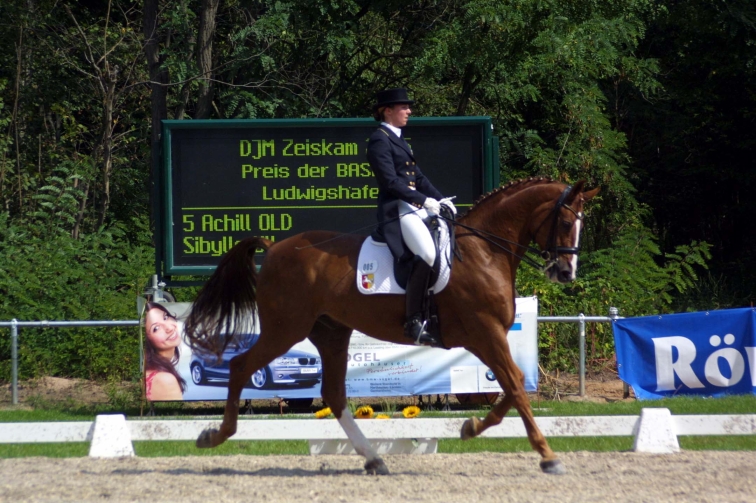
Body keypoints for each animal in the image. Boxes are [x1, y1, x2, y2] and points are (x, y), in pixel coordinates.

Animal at [184, 177, 599, 475]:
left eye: (581, 226)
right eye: (565, 222)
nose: (566, 273)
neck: (484, 252)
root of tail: (274, 247)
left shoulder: (486, 336)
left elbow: (513, 387)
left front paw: (471, 427)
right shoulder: (485, 332)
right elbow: (515, 386)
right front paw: (547, 456)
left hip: (331, 332)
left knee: (334, 394)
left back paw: (373, 459)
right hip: (285, 329)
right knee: (241, 366)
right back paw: (214, 436)